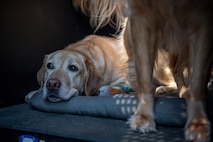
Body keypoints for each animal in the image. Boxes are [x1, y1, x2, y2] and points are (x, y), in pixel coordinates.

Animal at [72, 0, 212, 141]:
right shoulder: (140, 20)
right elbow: (144, 80)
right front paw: (143, 117)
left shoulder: (203, 23)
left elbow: (197, 84)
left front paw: (198, 124)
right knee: (171, 71)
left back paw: (180, 91)